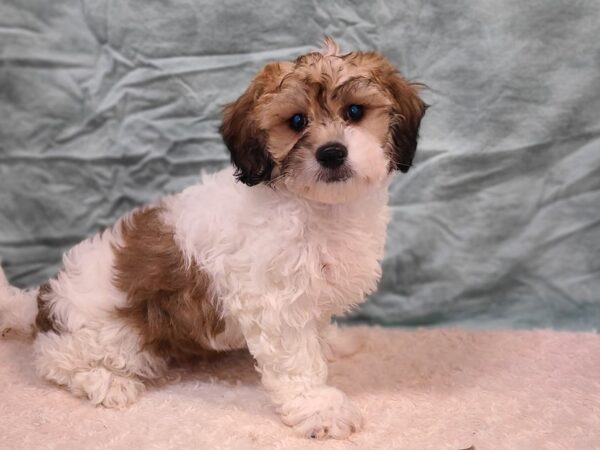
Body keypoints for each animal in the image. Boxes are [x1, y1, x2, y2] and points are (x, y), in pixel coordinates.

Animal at [0, 38, 426, 440]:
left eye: (354, 112)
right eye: (296, 120)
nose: (332, 152)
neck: (318, 207)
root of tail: (42, 302)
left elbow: (317, 328)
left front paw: (332, 343)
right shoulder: (274, 302)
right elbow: (298, 361)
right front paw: (321, 408)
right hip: (115, 336)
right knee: (52, 358)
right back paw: (107, 382)